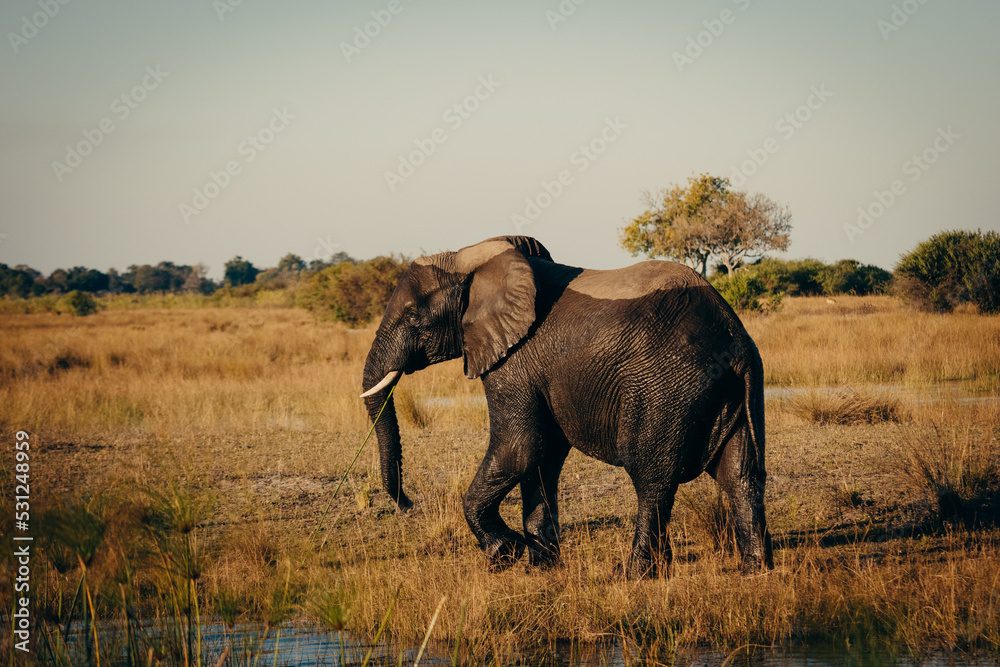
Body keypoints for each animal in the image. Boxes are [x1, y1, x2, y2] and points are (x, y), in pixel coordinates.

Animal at [360, 235, 772, 578]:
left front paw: (503, 553)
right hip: (734, 392)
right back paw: (754, 570)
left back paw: (634, 574)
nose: (408, 503)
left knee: (652, 479)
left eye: (414, 318)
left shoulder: (514, 361)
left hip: (667, 388)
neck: (474, 257)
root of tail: (734, 339)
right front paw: (539, 566)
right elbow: (542, 457)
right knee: (740, 475)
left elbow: (519, 448)